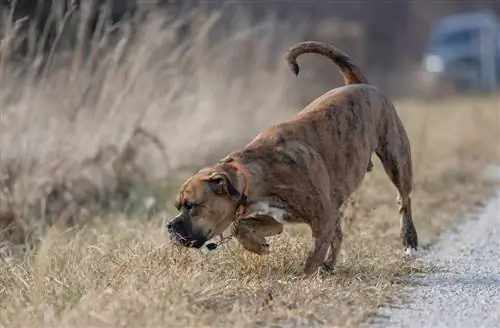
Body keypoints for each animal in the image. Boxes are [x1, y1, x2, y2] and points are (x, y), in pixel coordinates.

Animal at [168, 41, 418, 276]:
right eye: (179, 206)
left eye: (191, 206)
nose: (170, 226)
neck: (258, 172)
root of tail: (360, 85)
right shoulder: (274, 219)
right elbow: (239, 228)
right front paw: (257, 245)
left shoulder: (322, 218)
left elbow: (313, 255)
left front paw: (306, 279)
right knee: (338, 234)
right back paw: (329, 266)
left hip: (397, 159)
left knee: (403, 199)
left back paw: (409, 241)